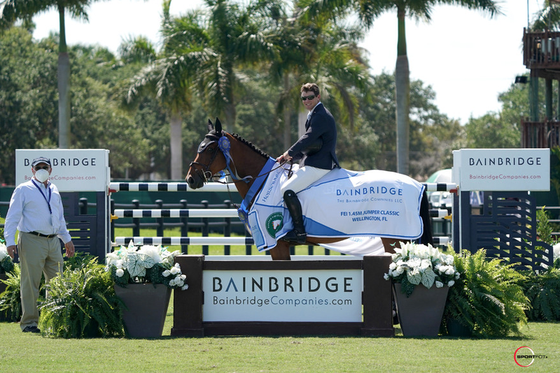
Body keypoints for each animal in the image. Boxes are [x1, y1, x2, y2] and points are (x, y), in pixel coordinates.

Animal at [186, 118, 436, 258]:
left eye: (210, 149)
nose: (190, 179)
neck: (261, 179)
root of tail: (417, 184)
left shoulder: (277, 243)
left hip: (393, 238)